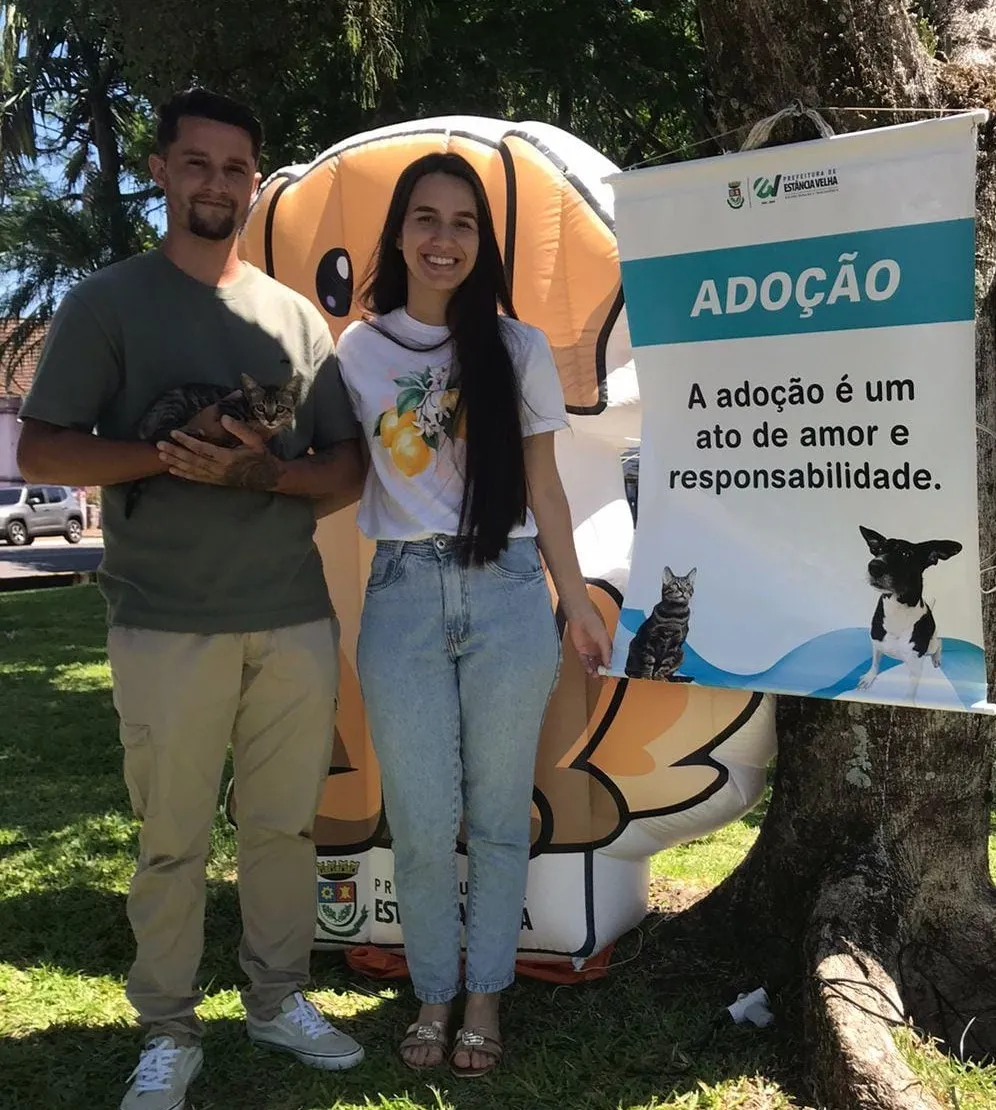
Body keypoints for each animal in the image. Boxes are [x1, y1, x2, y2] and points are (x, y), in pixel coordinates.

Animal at [123, 371, 304, 518]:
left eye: (280, 409)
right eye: (260, 407)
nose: (270, 419)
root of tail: (143, 422)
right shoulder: (227, 408)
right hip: (175, 406)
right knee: (162, 435)